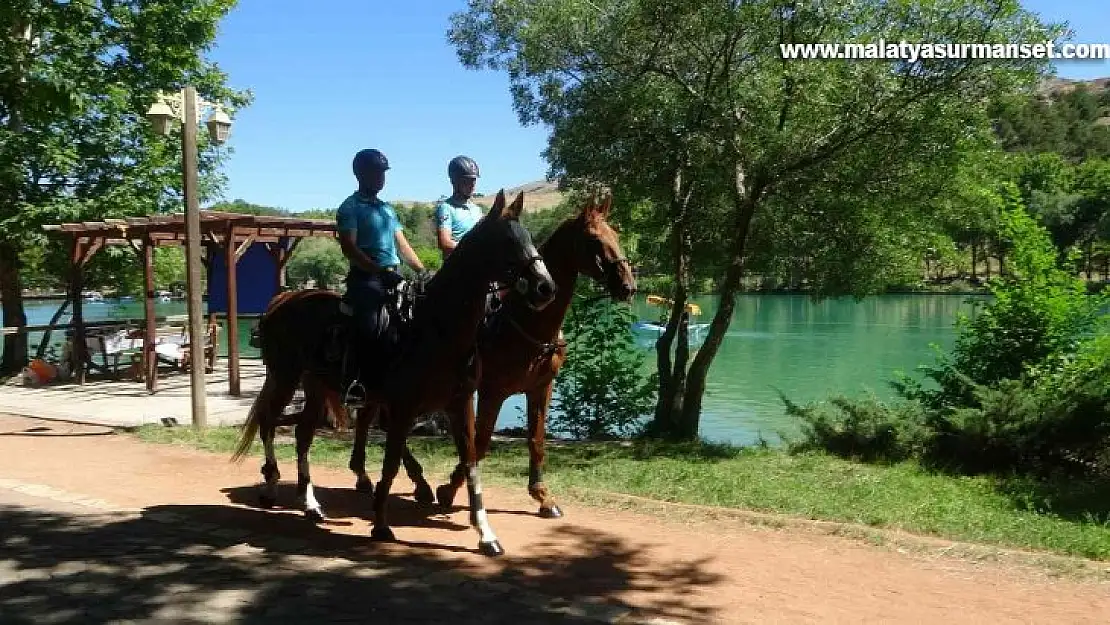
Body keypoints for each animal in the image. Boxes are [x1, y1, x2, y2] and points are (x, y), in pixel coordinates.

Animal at [229, 190, 555, 557]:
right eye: (507, 241)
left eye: (529, 237)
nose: (545, 287)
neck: (436, 329)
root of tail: (283, 300)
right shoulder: (402, 407)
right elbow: (391, 463)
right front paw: (381, 524)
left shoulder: (459, 405)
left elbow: (471, 462)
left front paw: (485, 534)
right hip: (285, 377)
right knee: (269, 422)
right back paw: (271, 485)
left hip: (315, 387)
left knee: (302, 435)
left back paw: (310, 504)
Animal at [350, 193, 639, 521]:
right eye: (594, 240)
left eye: (615, 235)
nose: (628, 286)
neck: (524, 322)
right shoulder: (492, 391)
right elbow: (481, 441)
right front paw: (450, 489)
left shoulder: (540, 388)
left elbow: (536, 440)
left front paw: (542, 496)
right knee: (377, 421)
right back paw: (382, 477)